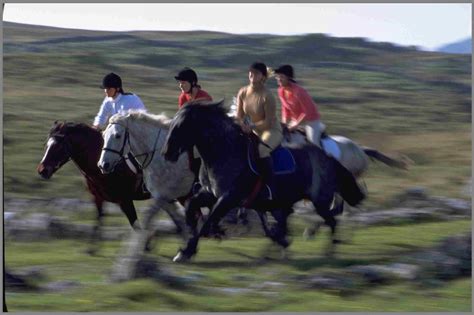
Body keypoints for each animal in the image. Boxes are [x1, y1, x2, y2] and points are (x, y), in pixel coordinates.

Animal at [36, 122, 185, 256]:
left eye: (58, 146)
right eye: (46, 145)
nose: (42, 170)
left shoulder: (125, 200)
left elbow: (135, 225)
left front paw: (146, 245)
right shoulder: (99, 198)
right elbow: (98, 219)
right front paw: (91, 248)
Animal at [98, 111, 196, 282]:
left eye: (117, 135)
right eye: (104, 135)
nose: (103, 165)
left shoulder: (162, 196)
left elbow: (144, 222)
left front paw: (127, 266)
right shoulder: (164, 197)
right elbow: (179, 220)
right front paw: (185, 251)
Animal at [161, 100, 364, 262]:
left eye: (181, 126)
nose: (166, 153)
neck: (225, 152)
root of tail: (328, 157)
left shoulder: (228, 198)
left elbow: (208, 222)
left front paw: (187, 251)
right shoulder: (211, 194)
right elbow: (192, 207)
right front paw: (187, 241)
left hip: (319, 201)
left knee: (332, 220)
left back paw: (327, 252)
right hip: (286, 201)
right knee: (293, 221)